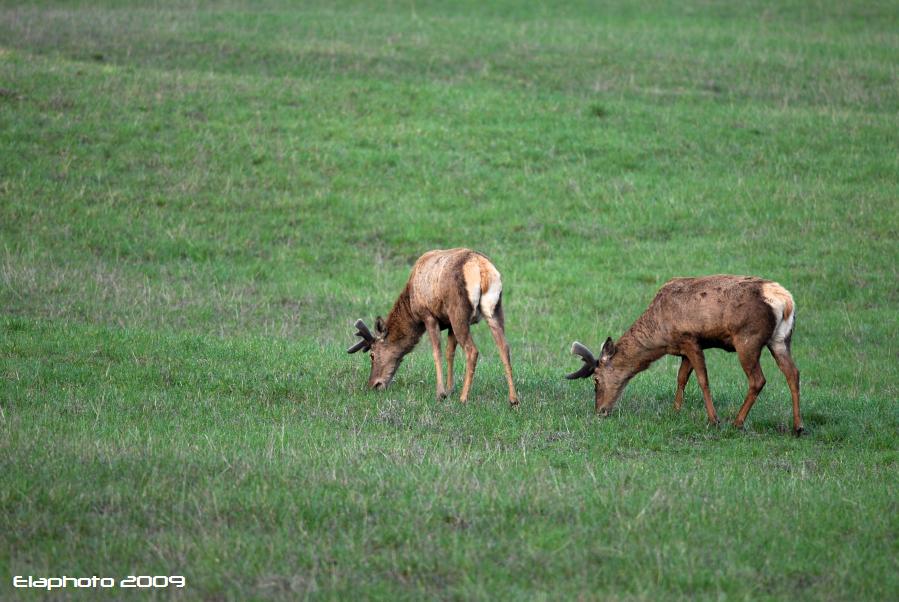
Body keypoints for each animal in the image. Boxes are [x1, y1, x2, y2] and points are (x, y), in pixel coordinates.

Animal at [350, 246, 520, 406]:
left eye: (372, 354)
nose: (374, 385)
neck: (411, 305)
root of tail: (480, 267)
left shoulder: (428, 315)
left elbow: (437, 352)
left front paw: (441, 393)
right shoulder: (449, 323)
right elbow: (449, 352)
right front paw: (450, 389)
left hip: (458, 312)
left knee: (472, 350)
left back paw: (464, 398)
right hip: (494, 309)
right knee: (504, 347)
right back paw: (513, 399)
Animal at [568, 274, 804, 434]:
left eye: (596, 379)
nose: (600, 410)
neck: (660, 335)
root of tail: (786, 301)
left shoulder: (690, 339)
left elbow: (702, 380)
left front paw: (713, 420)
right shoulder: (683, 350)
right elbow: (681, 378)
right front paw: (675, 411)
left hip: (748, 339)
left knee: (758, 379)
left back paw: (737, 422)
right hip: (781, 339)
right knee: (793, 373)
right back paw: (798, 426)